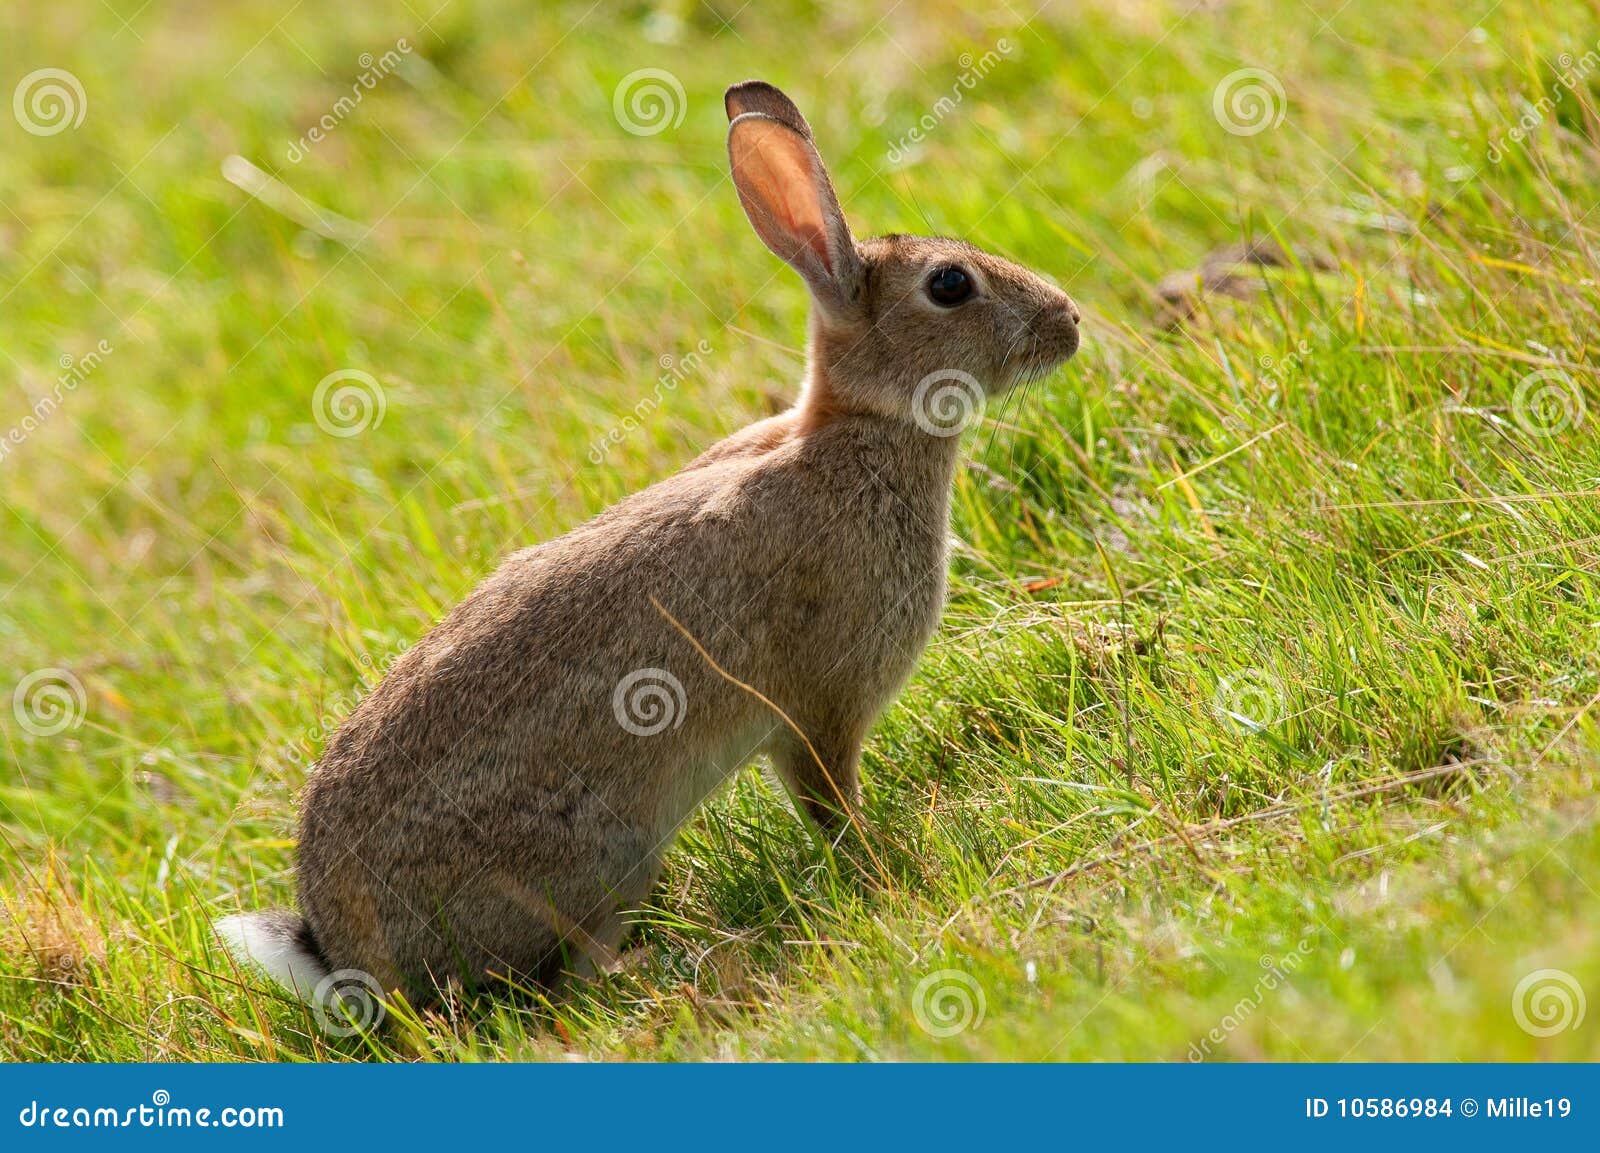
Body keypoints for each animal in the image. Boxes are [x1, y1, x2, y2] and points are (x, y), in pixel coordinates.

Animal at [218, 79, 1081, 1009]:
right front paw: (882, 867)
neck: (857, 429)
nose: (1069, 320)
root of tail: (344, 957)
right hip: (605, 849)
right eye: (950, 284)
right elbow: (831, 804)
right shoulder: (818, 710)